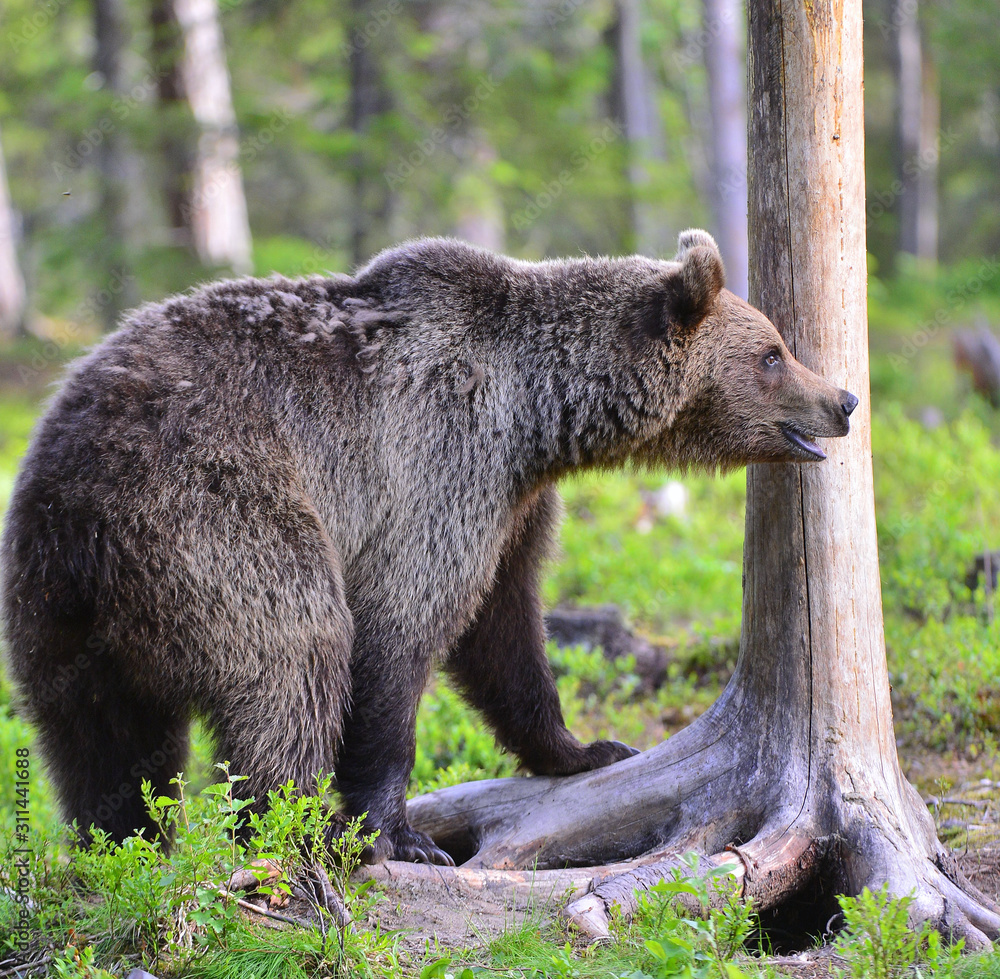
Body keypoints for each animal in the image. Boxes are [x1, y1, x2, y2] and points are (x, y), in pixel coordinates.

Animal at [1, 229, 857, 865]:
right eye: (774, 351)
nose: (843, 399)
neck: (536, 413)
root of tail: (85, 500)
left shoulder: (512, 504)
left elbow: (505, 631)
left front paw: (585, 746)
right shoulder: (435, 464)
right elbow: (398, 632)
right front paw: (400, 832)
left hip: (54, 595)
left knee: (104, 742)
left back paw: (123, 850)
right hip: (216, 511)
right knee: (293, 655)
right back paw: (294, 829)